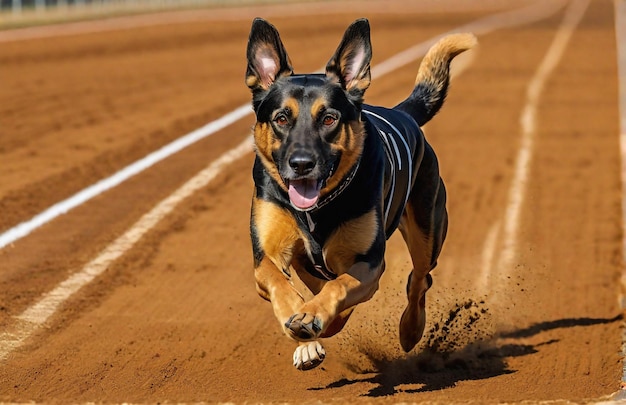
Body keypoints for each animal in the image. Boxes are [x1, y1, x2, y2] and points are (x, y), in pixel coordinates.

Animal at [244, 16, 472, 370]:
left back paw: (410, 329)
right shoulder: (268, 252)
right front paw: (300, 325)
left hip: (428, 229)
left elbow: (340, 288)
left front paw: (312, 318)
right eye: (281, 118)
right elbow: (279, 280)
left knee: (420, 278)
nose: (301, 164)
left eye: (329, 118)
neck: (318, 209)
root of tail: (403, 113)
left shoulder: (369, 263)